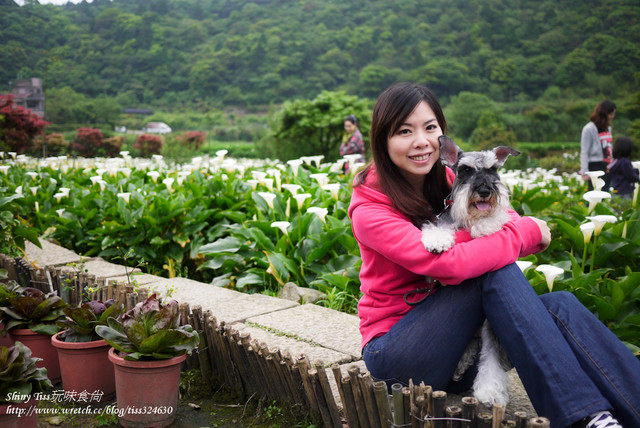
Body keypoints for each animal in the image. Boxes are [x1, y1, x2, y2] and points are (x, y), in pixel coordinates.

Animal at [422, 135, 524, 406]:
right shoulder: (444, 222)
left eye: (493, 170)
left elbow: (496, 219)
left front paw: (485, 226)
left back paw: (489, 391)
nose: (485, 191)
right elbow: (438, 230)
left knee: (489, 355)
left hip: (488, 325)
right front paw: (436, 241)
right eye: (465, 170)